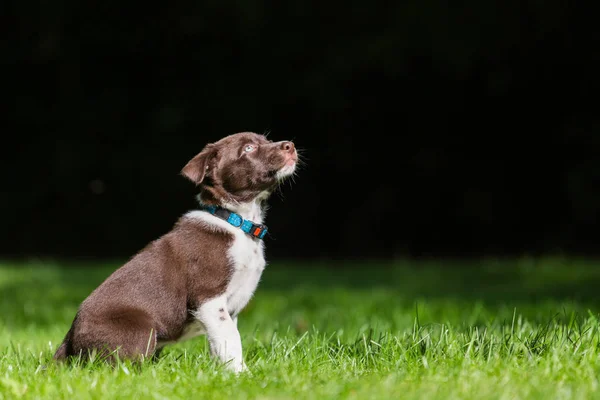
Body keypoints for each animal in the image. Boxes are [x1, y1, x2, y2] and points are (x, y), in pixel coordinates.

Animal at [53, 132, 298, 372]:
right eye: (248, 148)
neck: (237, 222)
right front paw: (242, 374)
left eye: (267, 140)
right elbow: (231, 339)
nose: (290, 145)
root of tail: (68, 340)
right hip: (141, 329)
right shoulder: (208, 298)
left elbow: (221, 342)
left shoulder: (228, 310)